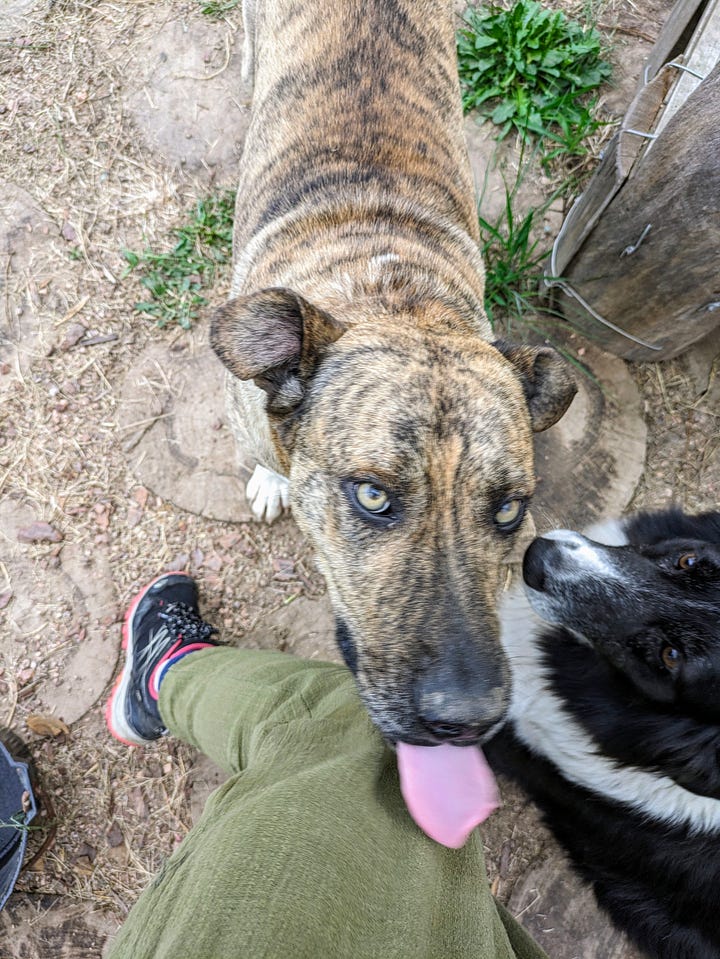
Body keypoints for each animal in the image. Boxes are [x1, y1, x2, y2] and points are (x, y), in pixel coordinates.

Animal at [211, 0, 576, 748]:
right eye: (372, 496)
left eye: (509, 510)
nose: (468, 721)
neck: (392, 297)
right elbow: (261, 454)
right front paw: (269, 480)